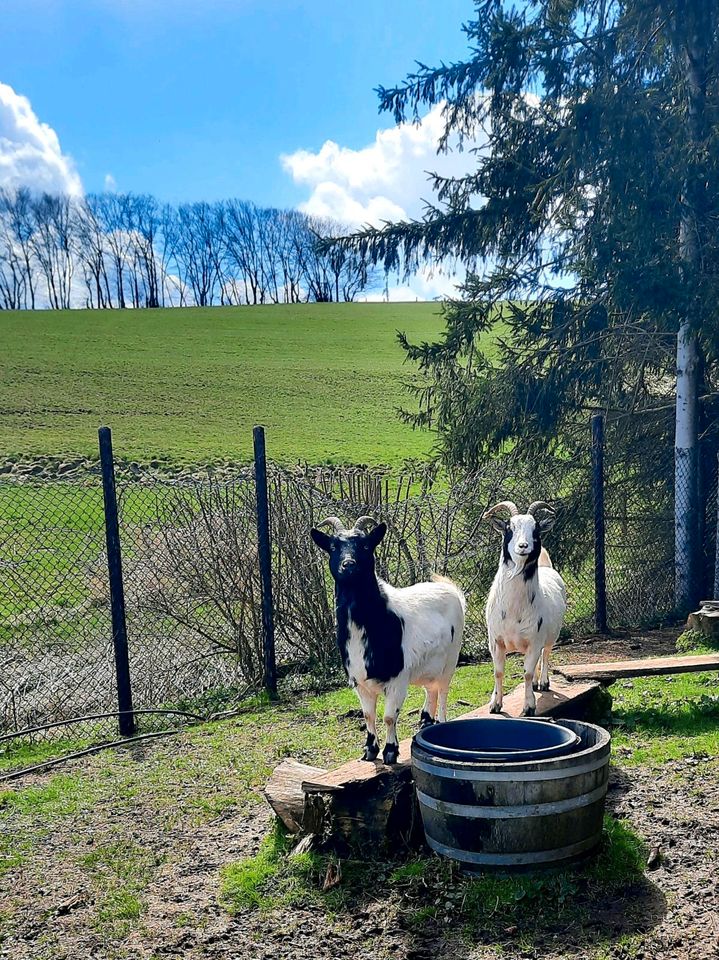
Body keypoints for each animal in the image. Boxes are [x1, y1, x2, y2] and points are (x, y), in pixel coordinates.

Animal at [310, 516, 466, 764]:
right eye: (333, 546)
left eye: (365, 546)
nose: (349, 564)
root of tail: (449, 589)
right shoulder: (359, 681)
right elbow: (368, 715)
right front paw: (369, 750)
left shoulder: (397, 679)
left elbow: (389, 717)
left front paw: (390, 751)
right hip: (428, 666)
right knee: (430, 690)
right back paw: (425, 722)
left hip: (451, 659)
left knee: (442, 693)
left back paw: (439, 722)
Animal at [484, 502, 568, 712]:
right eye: (509, 528)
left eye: (535, 529)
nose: (523, 546)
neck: (514, 610)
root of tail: (547, 568)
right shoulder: (495, 641)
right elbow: (498, 672)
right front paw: (495, 704)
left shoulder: (534, 640)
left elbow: (527, 673)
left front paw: (529, 706)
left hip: (551, 635)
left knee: (545, 654)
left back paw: (543, 683)